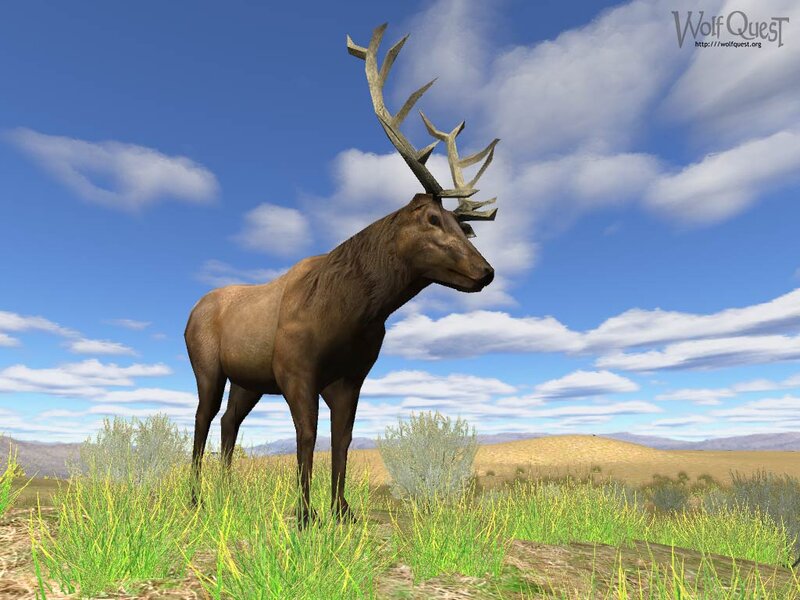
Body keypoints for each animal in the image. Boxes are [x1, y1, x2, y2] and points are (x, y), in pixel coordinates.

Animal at [184, 22, 501, 527]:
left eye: (462, 226)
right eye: (433, 220)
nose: (486, 271)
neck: (355, 313)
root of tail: (191, 311)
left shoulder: (351, 378)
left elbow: (343, 439)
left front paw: (342, 510)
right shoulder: (295, 370)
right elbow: (308, 435)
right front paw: (304, 514)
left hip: (248, 380)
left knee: (230, 422)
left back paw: (226, 496)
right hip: (208, 366)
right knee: (202, 419)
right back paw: (195, 499)